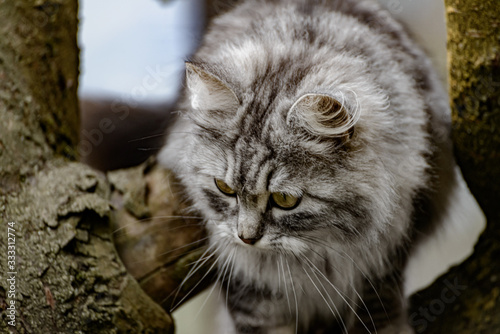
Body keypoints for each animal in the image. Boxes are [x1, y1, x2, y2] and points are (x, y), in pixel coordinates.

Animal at [160, 0, 460, 332]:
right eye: (224, 188)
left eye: (285, 199)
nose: (246, 238)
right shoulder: (249, 288)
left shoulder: (386, 254)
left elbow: (378, 313)